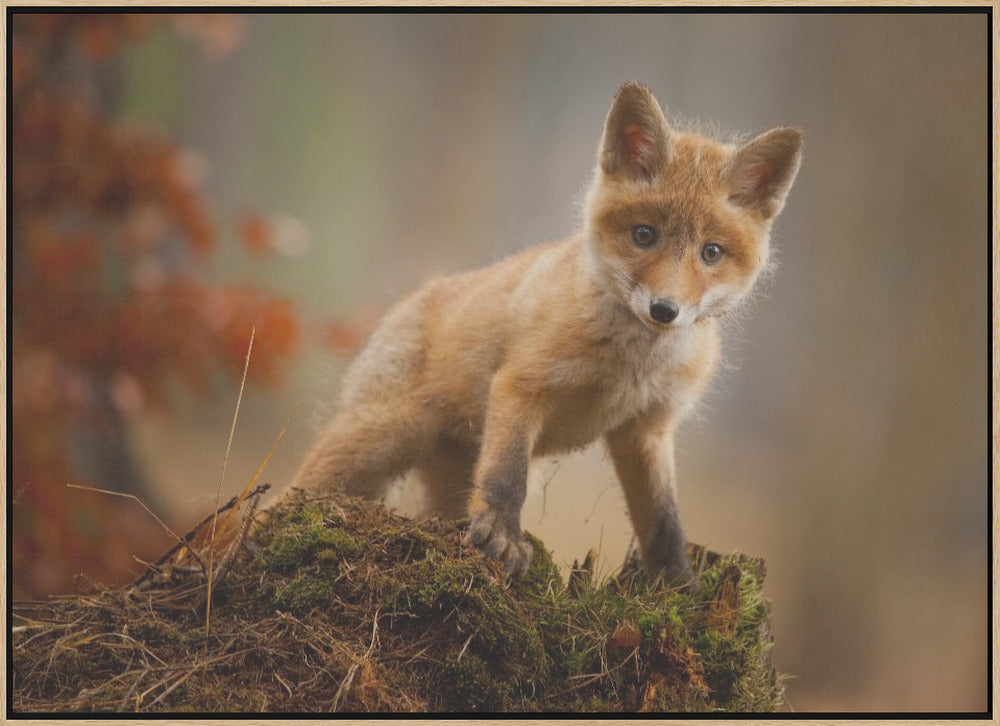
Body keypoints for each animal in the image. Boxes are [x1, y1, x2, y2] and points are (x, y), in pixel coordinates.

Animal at [290, 81, 802, 584]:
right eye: (644, 235)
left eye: (711, 252)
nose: (664, 310)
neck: (629, 366)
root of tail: (409, 300)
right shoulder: (522, 386)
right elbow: (506, 477)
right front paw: (502, 537)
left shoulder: (647, 429)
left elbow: (664, 523)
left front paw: (677, 588)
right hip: (376, 440)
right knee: (294, 492)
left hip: (444, 477)